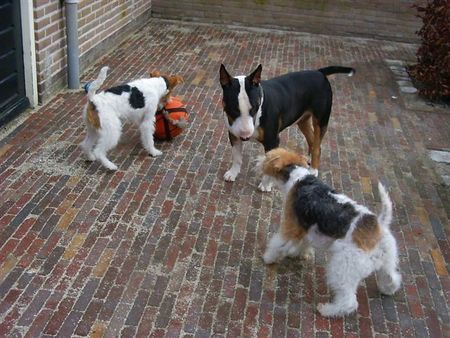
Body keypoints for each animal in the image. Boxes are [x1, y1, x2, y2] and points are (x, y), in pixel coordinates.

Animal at [260, 148, 400, 316]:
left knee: (349, 301)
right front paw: (299, 254)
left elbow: (278, 243)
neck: (299, 178)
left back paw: (327, 310)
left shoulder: (291, 226)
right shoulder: (308, 227)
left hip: (343, 267)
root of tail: (378, 225)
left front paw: (268, 258)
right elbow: (304, 243)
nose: (259, 160)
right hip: (387, 261)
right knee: (394, 278)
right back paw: (387, 289)